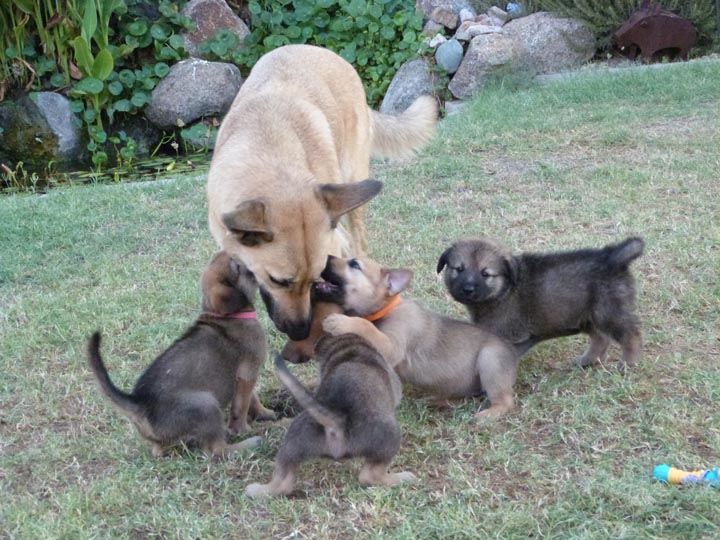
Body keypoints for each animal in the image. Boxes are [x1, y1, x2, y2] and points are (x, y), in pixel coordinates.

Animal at [87, 251, 272, 458]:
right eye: (239, 266)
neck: (225, 316)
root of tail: (141, 403)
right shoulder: (248, 373)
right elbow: (242, 406)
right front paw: (245, 429)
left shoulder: (243, 377)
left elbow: (252, 399)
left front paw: (265, 413)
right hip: (206, 404)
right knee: (216, 450)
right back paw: (250, 443)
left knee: (159, 451)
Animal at [205, 46, 436, 342]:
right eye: (278, 281)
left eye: (314, 277)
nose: (300, 332)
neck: (269, 151)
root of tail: (315, 48)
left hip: (353, 184)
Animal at [243, 334, 414, 498]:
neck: (349, 350)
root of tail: (336, 421)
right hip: (390, 436)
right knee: (369, 476)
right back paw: (402, 477)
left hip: (294, 442)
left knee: (282, 481)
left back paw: (256, 490)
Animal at [312, 255, 520, 420]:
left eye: (354, 264)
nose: (327, 257)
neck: (386, 309)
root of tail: (512, 353)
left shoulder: (392, 346)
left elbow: (366, 326)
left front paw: (339, 321)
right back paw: (438, 400)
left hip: (490, 360)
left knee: (506, 402)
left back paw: (487, 415)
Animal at [438, 236, 648, 368]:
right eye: (458, 269)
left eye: (485, 274)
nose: (468, 289)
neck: (504, 289)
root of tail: (612, 257)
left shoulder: (509, 336)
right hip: (586, 315)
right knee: (601, 338)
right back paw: (586, 361)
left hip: (608, 311)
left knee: (631, 335)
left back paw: (628, 363)